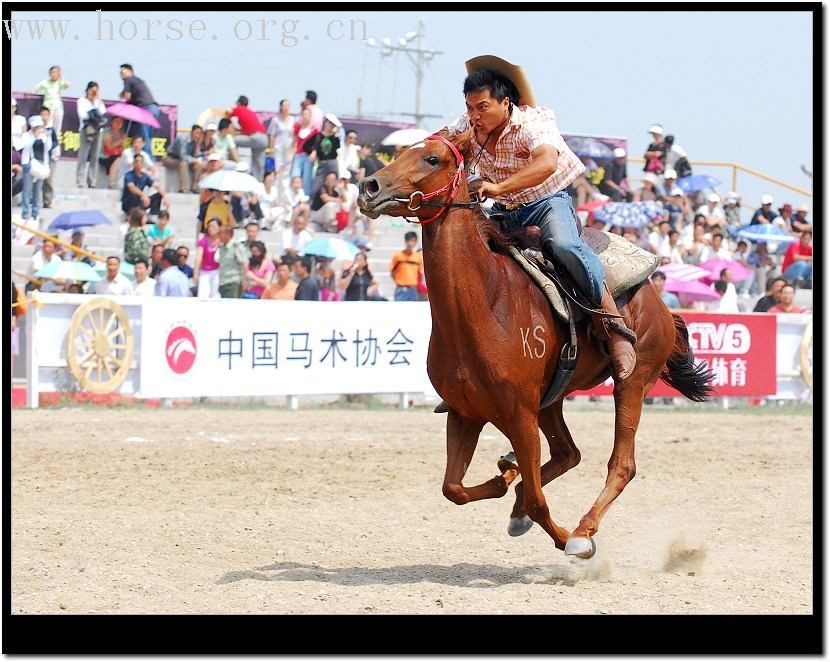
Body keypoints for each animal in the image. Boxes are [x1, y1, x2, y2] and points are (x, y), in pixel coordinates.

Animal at [356, 131, 708, 560]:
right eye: (403, 151)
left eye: (432, 158)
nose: (369, 186)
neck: (486, 303)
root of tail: (661, 305)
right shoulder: (464, 414)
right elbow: (453, 488)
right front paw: (506, 477)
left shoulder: (520, 415)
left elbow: (540, 502)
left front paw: (568, 539)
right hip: (551, 400)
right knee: (568, 454)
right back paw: (517, 491)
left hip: (633, 383)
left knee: (621, 464)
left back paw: (583, 528)